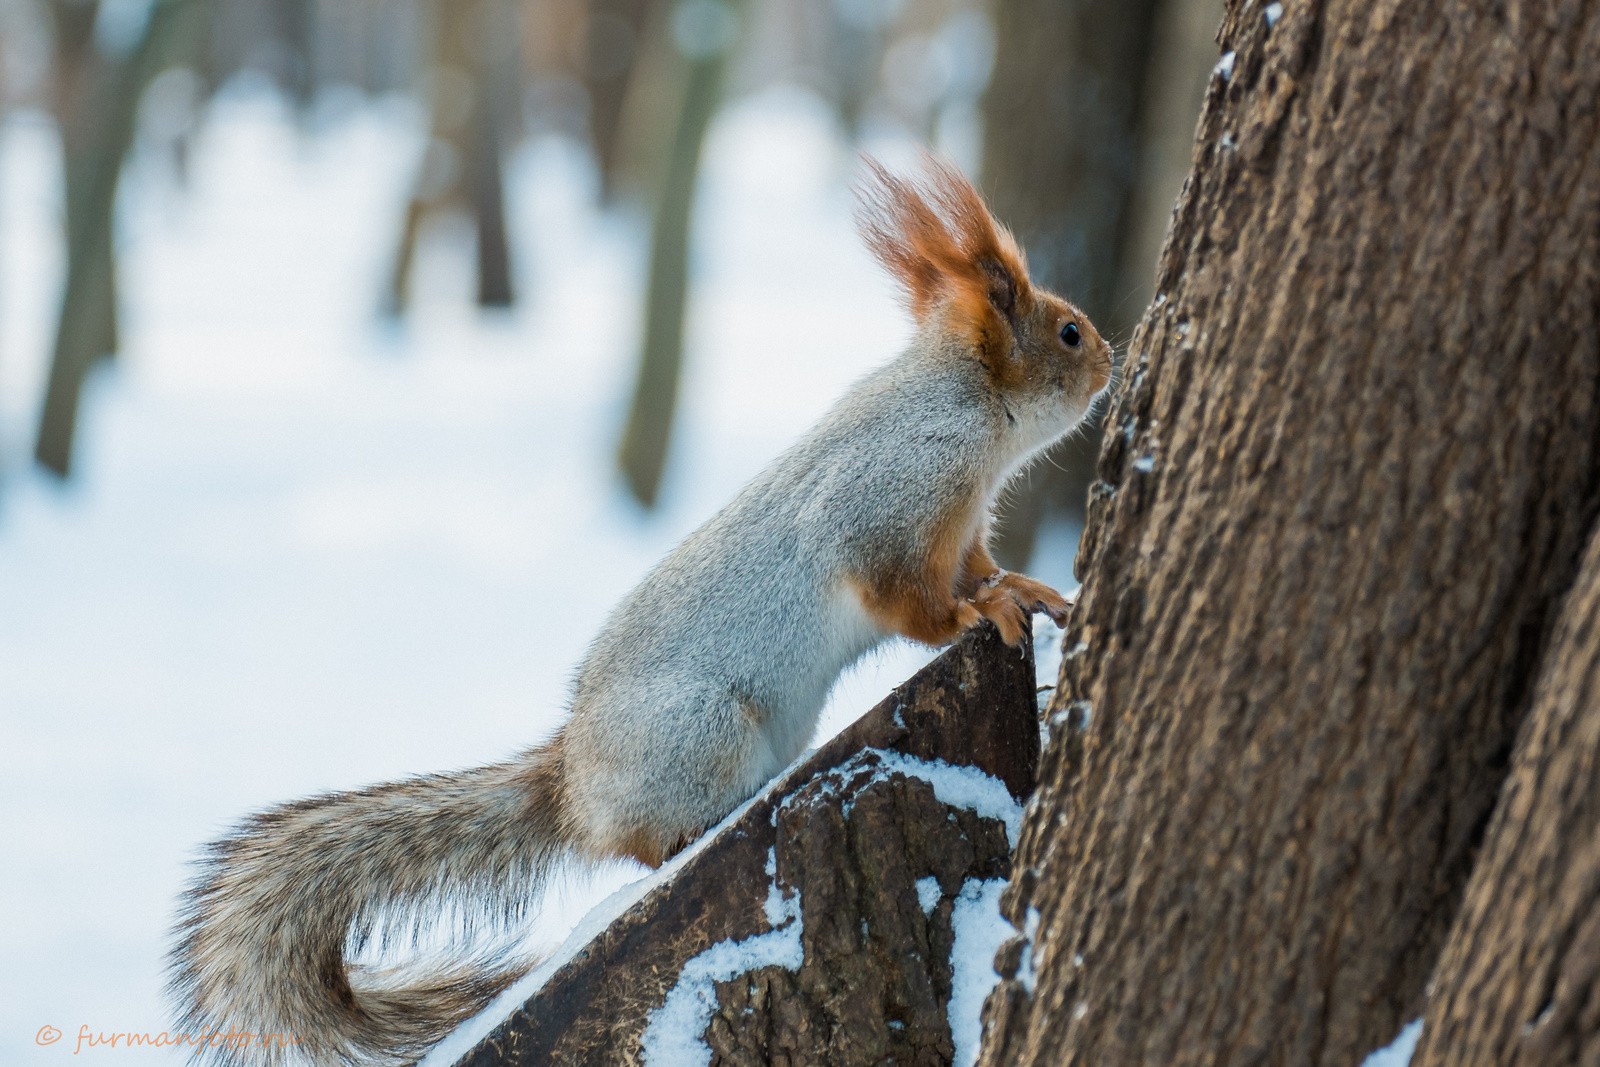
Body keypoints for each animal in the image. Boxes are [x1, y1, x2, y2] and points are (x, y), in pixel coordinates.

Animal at [165, 154, 1113, 1062]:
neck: (965, 408)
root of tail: (574, 782)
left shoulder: (963, 532)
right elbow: (911, 601)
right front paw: (976, 618)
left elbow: (978, 570)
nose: (1111, 359)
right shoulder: (887, 508)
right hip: (701, 730)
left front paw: (1021, 589)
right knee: (644, 843)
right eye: (1068, 331)